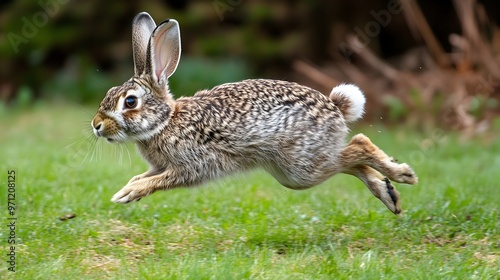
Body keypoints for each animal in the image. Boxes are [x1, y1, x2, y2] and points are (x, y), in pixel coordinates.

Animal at [91, 12, 418, 214]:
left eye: (130, 102)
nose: (96, 125)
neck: (166, 122)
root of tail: (336, 106)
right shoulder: (161, 165)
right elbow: (143, 175)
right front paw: (128, 187)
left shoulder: (192, 165)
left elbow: (158, 181)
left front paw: (127, 194)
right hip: (300, 169)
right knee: (349, 161)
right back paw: (388, 193)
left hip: (300, 167)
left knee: (358, 146)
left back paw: (402, 174)